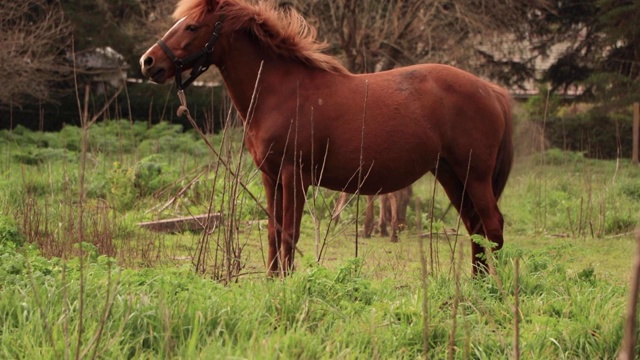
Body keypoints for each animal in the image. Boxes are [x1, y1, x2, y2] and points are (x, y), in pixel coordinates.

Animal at [141, 0, 516, 276]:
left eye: (192, 26)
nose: (148, 61)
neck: (281, 91)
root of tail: (493, 91)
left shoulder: (294, 176)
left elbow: (290, 232)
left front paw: (285, 284)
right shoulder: (270, 177)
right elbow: (274, 231)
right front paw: (272, 281)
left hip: (474, 176)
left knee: (492, 226)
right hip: (451, 175)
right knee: (476, 228)